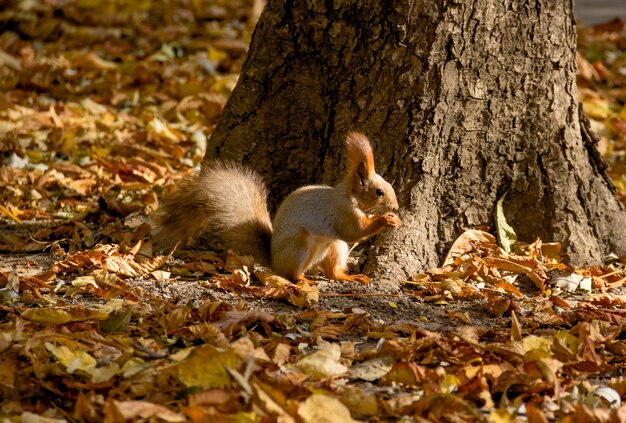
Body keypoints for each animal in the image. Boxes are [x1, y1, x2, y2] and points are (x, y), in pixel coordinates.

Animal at [156, 132, 400, 284]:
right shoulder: (342, 212)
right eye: (379, 192)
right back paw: (303, 280)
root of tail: (274, 261)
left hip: (334, 247)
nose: (397, 207)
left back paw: (348, 277)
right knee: (291, 273)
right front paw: (386, 220)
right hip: (299, 245)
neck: (350, 196)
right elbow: (354, 231)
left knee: (332, 273)